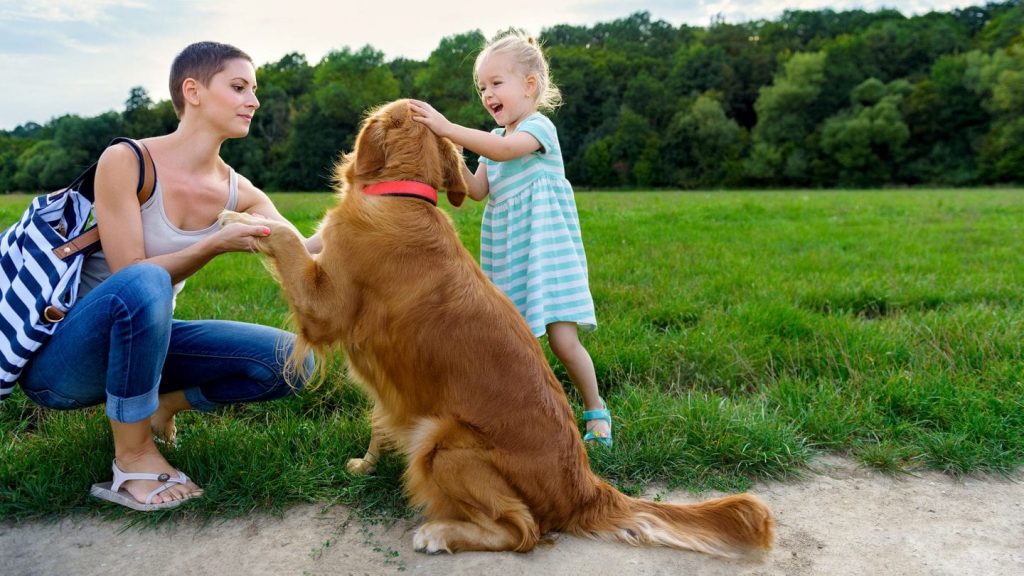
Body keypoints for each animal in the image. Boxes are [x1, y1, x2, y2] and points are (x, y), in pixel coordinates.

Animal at [220, 99, 770, 557]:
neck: (402, 196)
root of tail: (587, 488)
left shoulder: (324, 307)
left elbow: (286, 238)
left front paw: (235, 218)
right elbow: (379, 419)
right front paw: (365, 464)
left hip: (441, 442)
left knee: (522, 531)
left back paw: (439, 533)